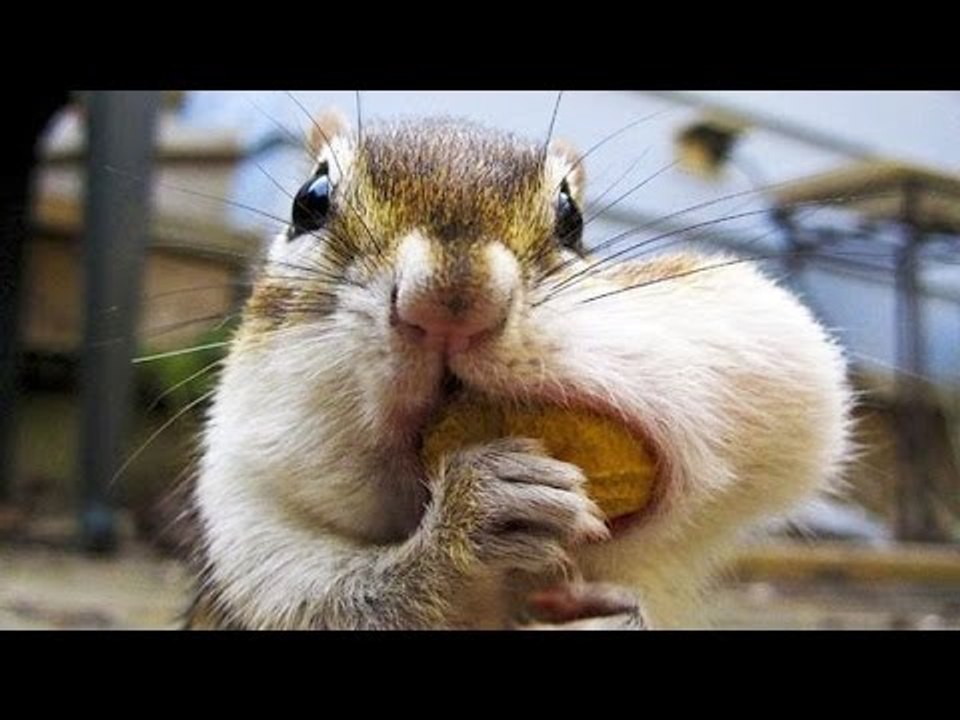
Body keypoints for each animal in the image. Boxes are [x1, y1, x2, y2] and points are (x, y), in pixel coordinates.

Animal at [183, 111, 852, 629]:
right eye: (310, 200)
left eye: (572, 217)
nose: (452, 301)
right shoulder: (252, 545)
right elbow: (343, 604)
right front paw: (480, 512)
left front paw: (609, 613)